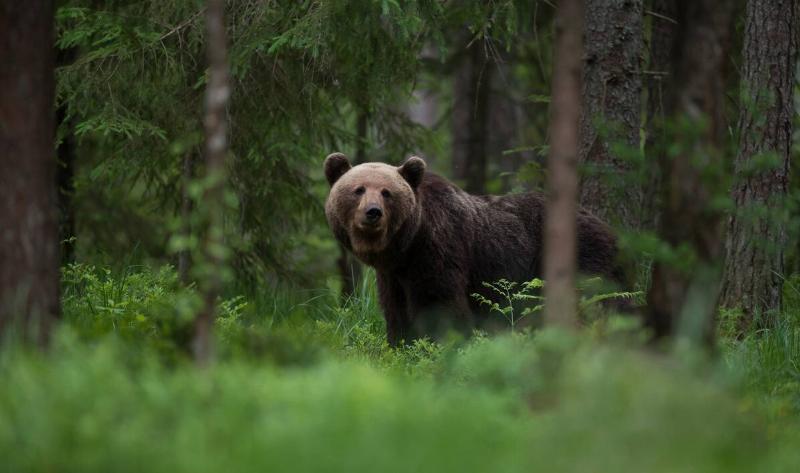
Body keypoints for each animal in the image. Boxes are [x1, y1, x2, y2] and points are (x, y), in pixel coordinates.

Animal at [323, 152, 623, 346]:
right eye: (359, 189)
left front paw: (438, 346)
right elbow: (395, 310)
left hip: (582, 256)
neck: (406, 246)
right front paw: (400, 345)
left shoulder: (438, 250)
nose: (373, 213)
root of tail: (609, 228)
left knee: (594, 303)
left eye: (387, 192)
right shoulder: (394, 275)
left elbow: (439, 304)